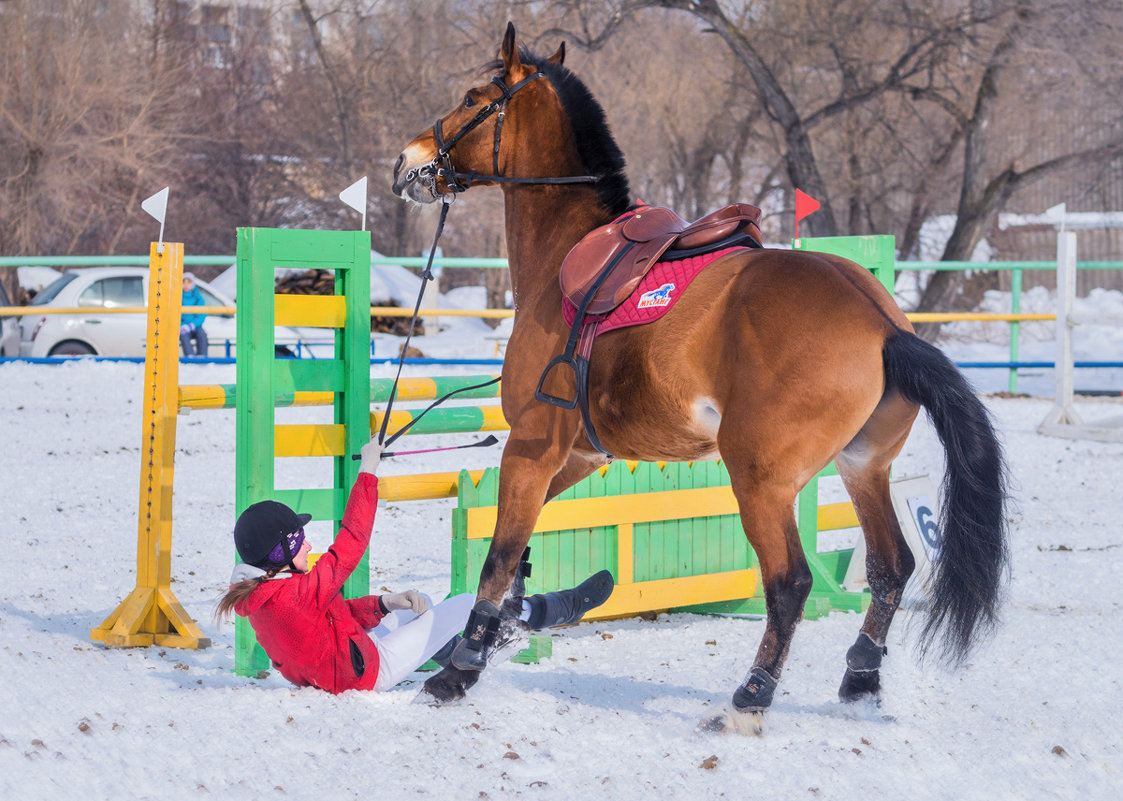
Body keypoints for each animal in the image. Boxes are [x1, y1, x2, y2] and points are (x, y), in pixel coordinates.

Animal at [388, 23, 1010, 732]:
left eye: (472, 97)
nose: (407, 162)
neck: (566, 257)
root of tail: (884, 325)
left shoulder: (532, 445)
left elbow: (499, 549)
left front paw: (461, 667)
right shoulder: (576, 455)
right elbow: (518, 547)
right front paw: (505, 630)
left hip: (760, 478)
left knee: (790, 582)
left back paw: (750, 698)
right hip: (862, 467)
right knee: (891, 566)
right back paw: (859, 679)